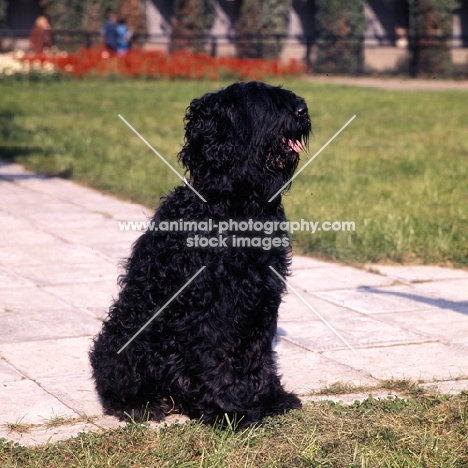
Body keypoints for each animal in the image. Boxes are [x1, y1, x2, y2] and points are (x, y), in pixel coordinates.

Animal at [90, 82, 310, 426]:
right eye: (258, 100)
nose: (302, 109)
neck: (235, 204)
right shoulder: (209, 303)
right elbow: (216, 357)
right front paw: (230, 410)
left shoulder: (262, 296)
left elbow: (258, 354)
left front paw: (269, 398)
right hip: (123, 337)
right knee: (118, 384)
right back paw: (142, 404)